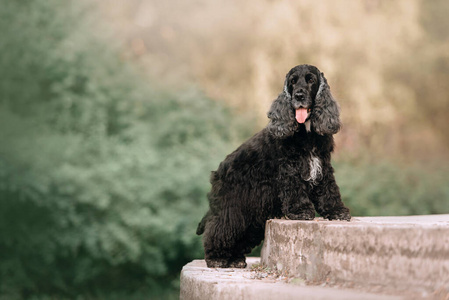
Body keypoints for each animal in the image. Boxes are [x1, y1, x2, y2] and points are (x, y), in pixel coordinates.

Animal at [196, 65, 350, 268]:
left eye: (310, 80)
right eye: (292, 81)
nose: (298, 96)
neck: (307, 130)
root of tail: (216, 174)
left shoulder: (322, 165)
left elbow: (329, 191)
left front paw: (337, 211)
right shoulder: (290, 169)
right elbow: (296, 191)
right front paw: (301, 212)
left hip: (253, 216)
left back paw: (236, 260)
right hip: (232, 208)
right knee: (218, 228)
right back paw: (217, 259)